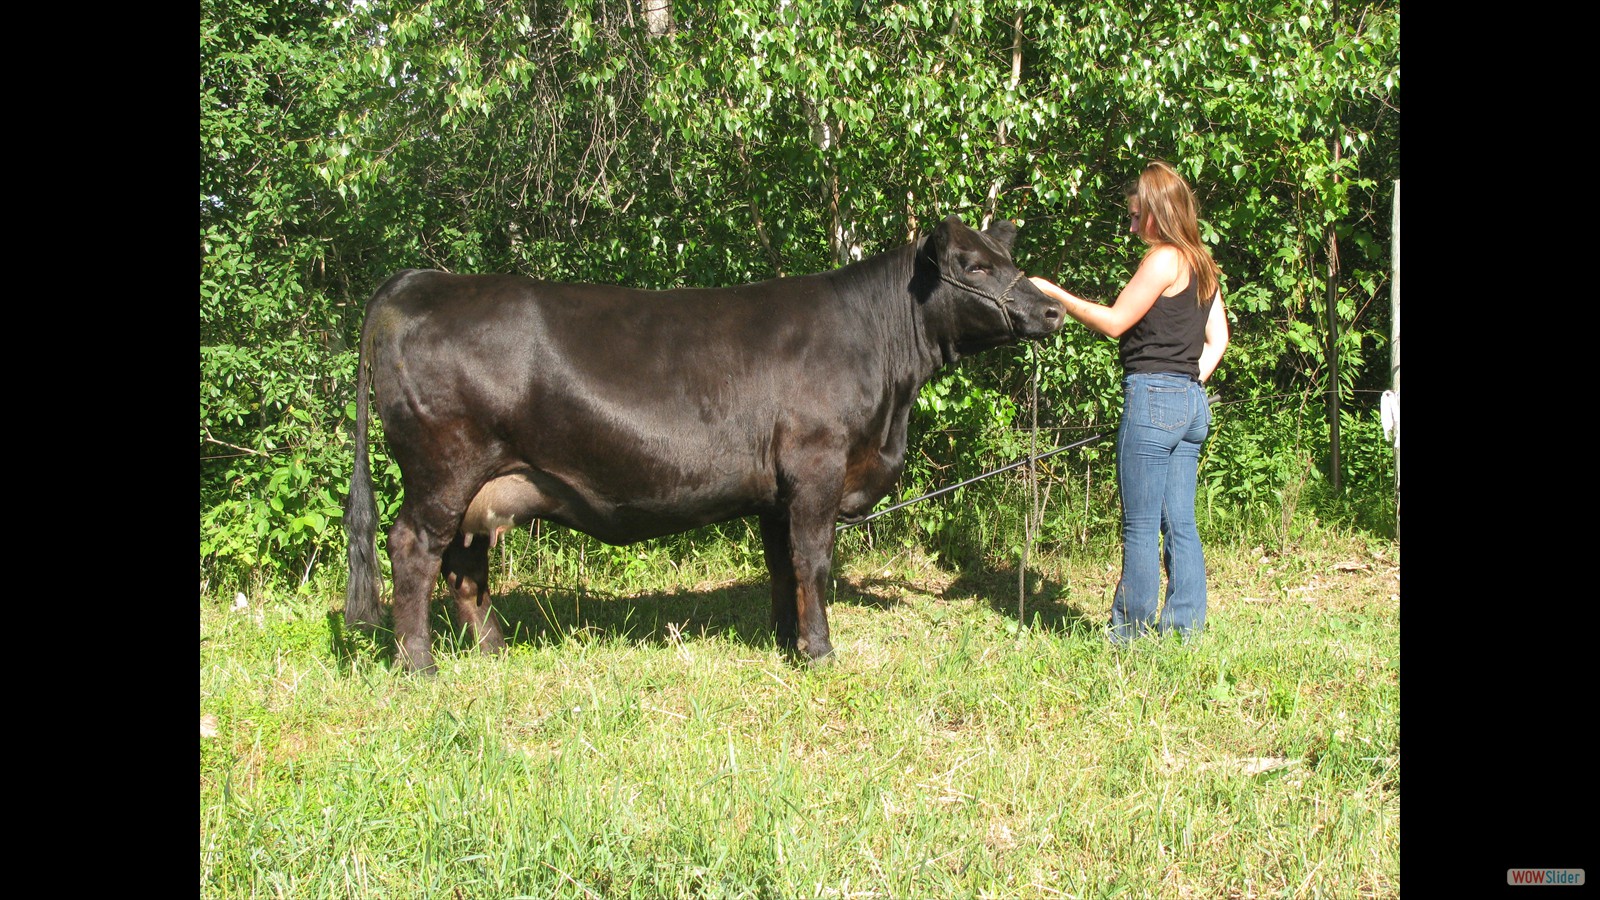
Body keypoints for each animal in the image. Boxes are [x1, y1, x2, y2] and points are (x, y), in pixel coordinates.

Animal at [344, 215, 1063, 674]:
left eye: (1008, 261)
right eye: (974, 265)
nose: (1053, 309)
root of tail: (419, 281)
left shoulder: (776, 491)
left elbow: (782, 567)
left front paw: (787, 642)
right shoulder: (817, 467)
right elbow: (813, 562)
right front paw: (821, 652)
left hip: (482, 486)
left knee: (464, 563)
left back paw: (492, 649)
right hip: (443, 468)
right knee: (413, 549)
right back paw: (420, 666)